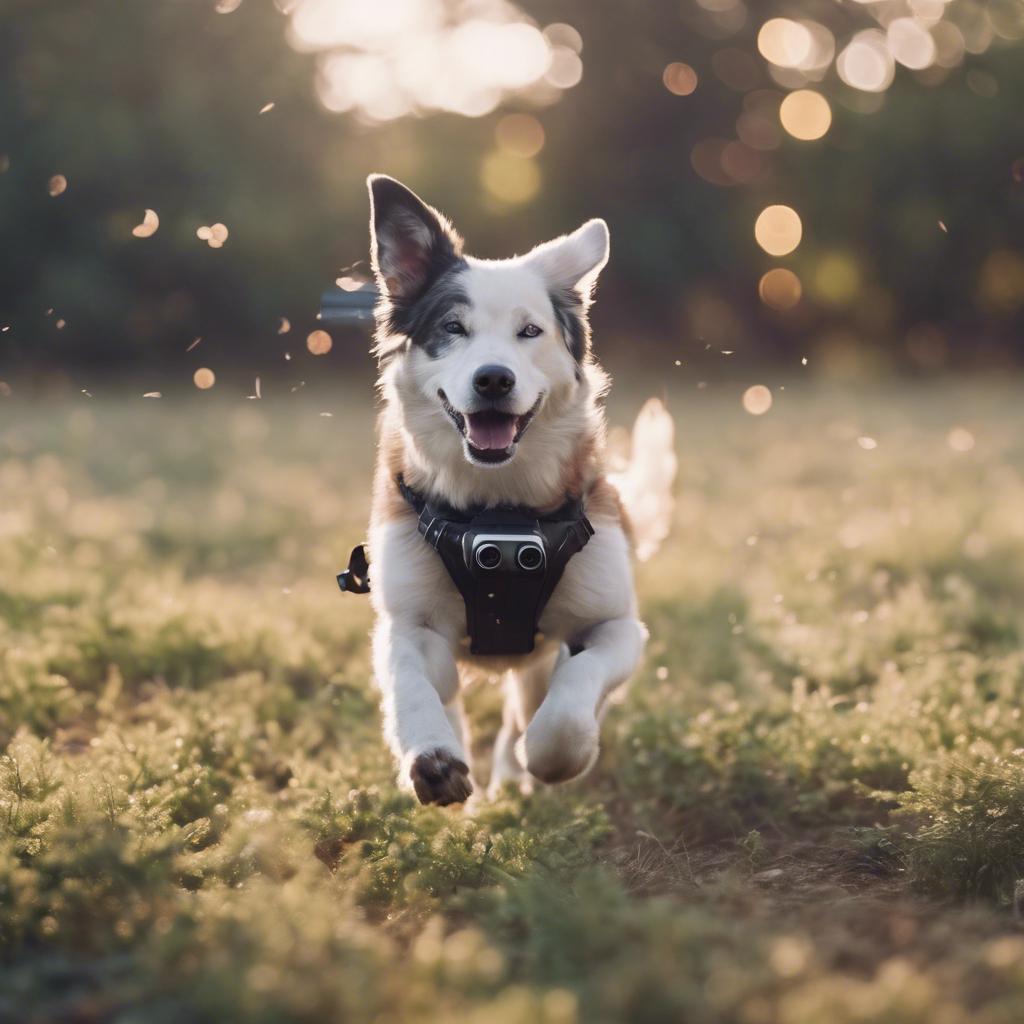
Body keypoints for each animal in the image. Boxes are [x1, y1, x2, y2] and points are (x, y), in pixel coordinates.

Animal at [356, 174, 675, 798]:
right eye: (453, 329)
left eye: (530, 331)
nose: (493, 379)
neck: (497, 505)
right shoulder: (410, 622)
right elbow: (411, 683)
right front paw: (432, 756)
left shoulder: (616, 626)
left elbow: (570, 699)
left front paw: (552, 759)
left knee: (526, 706)